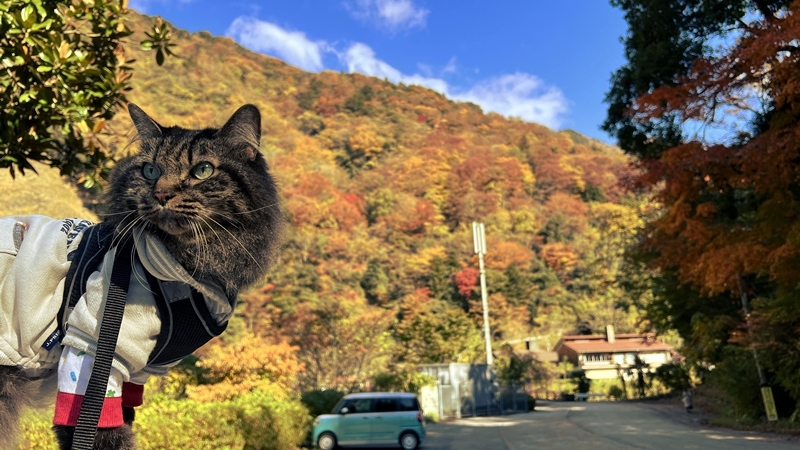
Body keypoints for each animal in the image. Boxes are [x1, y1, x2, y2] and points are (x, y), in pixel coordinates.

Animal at [0, 103, 284, 448]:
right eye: (150, 171)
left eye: (203, 170)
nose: (161, 194)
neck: (192, 275)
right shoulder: (91, 348)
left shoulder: (135, 375)